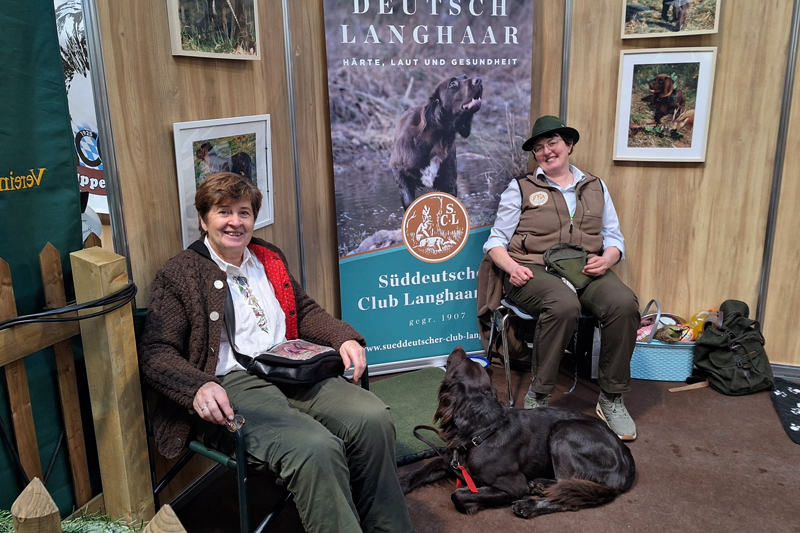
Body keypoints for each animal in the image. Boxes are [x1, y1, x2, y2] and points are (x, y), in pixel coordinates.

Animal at [390, 75, 483, 210]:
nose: (479, 80)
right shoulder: (399, 172)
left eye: (465, 77)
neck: (437, 140)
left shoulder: (448, 181)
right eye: (452, 84)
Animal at [400, 347, 635, 518]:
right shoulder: (450, 459)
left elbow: (457, 494)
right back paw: (538, 485)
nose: (459, 347)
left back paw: (530, 505)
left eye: (460, 363)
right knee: (567, 485)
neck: (481, 432)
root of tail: (626, 456)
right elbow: (419, 471)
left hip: (564, 431)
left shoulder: (512, 485)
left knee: (569, 494)